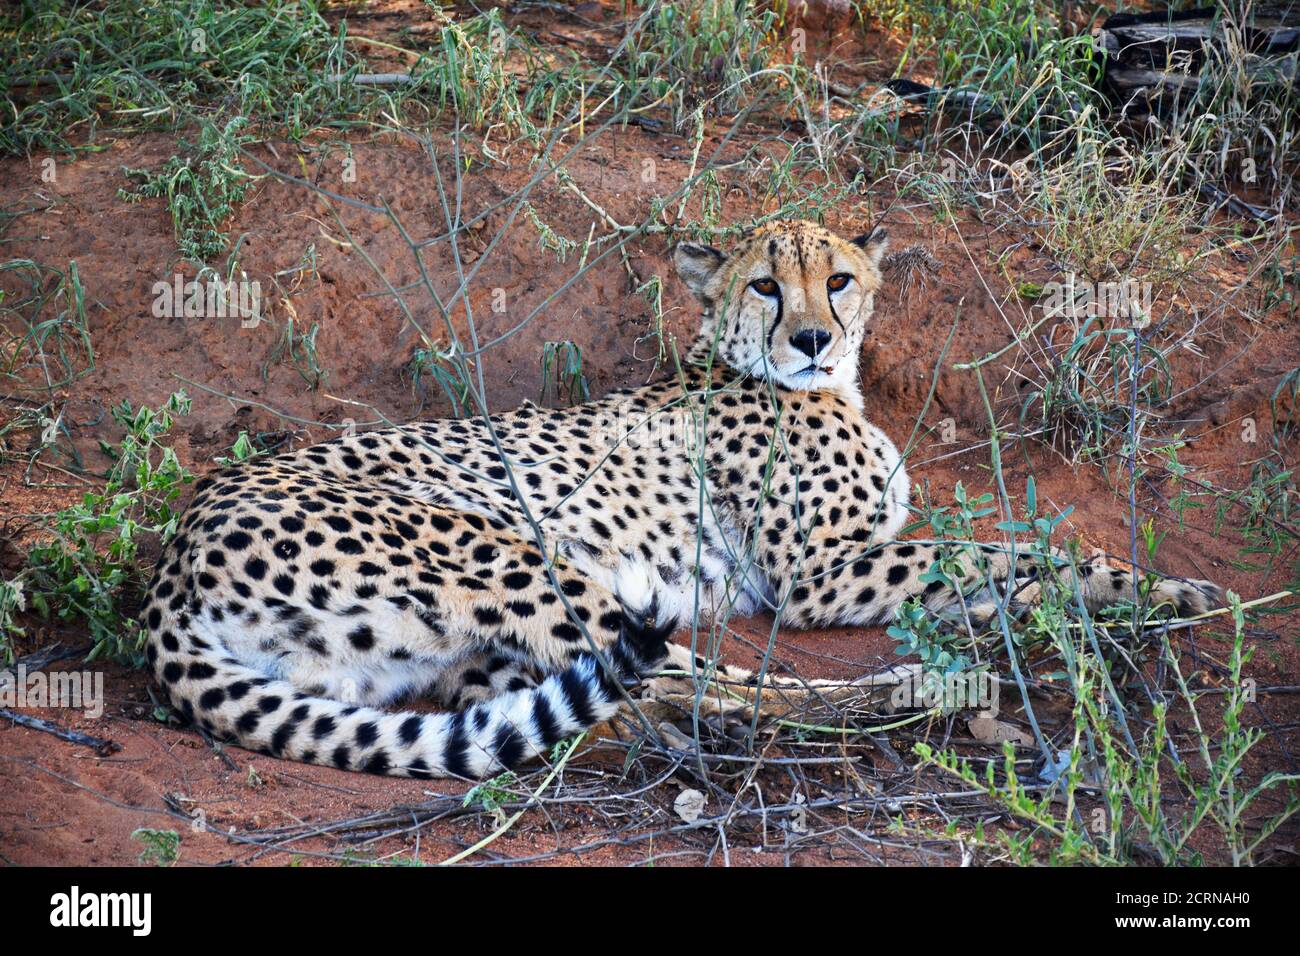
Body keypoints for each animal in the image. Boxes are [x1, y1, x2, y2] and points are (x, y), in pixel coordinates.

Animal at [140, 219, 1221, 779]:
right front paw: (1163, 594)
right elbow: (1008, 552)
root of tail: (172, 559)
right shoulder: (819, 577)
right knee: (706, 677)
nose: (812, 339)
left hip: (422, 655)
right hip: (514, 550)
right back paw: (912, 693)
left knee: (549, 697)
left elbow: (1001, 559)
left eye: (837, 279)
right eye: (764, 286)